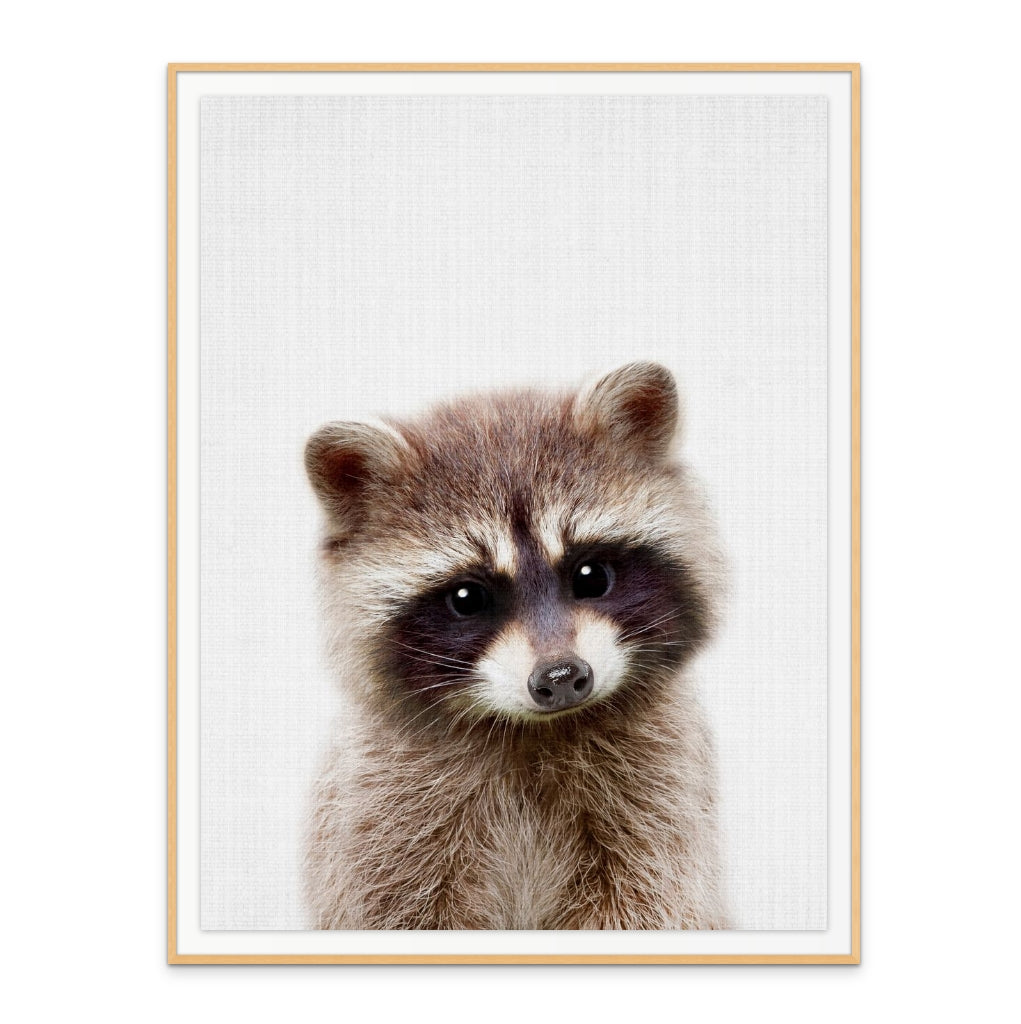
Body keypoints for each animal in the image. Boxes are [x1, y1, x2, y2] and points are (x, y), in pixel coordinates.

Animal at [303, 362, 729, 930]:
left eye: (591, 576)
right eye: (467, 597)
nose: (561, 677)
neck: (533, 731)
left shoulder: (661, 796)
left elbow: (649, 899)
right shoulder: (380, 813)